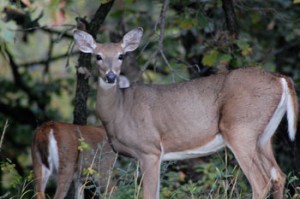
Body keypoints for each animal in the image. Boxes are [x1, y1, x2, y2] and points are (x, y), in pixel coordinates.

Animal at [72, 28, 298, 199]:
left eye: (121, 55)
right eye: (98, 56)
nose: (111, 76)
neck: (119, 110)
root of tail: (280, 79)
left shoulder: (149, 149)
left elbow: (149, 195)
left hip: (240, 129)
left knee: (261, 181)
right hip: (264, 135)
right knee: (279, 175)